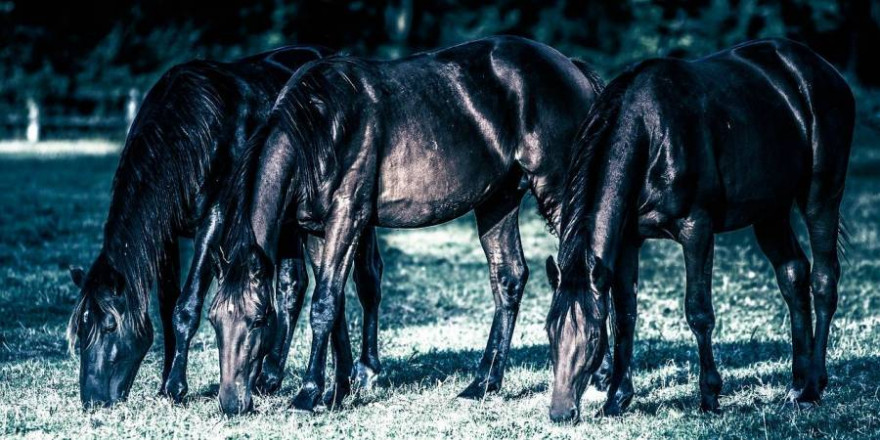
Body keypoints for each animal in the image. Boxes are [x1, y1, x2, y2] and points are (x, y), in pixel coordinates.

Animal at [63, 46, 384, 408]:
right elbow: (167, 305)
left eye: (108, 327)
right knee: (294, 285)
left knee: (367, 280)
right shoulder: (166, 234)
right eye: (81, 331)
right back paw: (271, 377)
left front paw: (175, 387)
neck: (189, 132)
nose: (92, 399)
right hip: (288, 221)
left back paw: (365, 371)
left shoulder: (214, 220)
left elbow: (187, 306)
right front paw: (165, 381)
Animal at [209, 35, 600, 416]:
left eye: (259, 319)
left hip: (558, 192)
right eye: (213, 321)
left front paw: (307, 396)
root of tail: (570, 66)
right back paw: (482, 384)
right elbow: (334, 306)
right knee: (509, 277)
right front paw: (336, 391)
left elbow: (323, 304)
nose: (232, 404)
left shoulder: (347, 217)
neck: (321, 126)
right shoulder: (316, 230)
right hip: (497, 201)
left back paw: (601, 379)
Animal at [544, 38, 852, 422]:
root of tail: (824, 71)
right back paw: (798, 381)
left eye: (591, 337)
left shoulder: (697, 230)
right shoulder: (629, 241)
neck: (651, 134)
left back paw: (813, 385)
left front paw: (709, 395)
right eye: (550, 332)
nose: (560, 412)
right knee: (794, 275)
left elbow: (698, 311)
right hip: (771, 212)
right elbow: (625, 314)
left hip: (821, 197)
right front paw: (616, 398)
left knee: (824, 280)